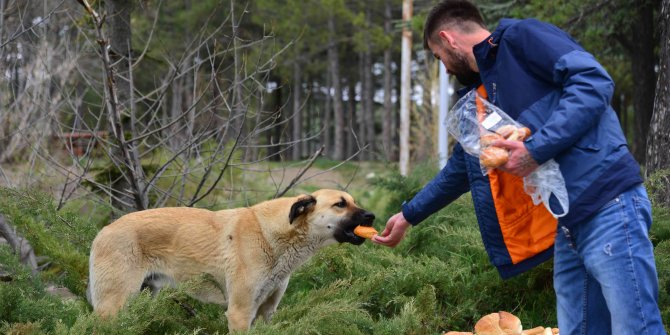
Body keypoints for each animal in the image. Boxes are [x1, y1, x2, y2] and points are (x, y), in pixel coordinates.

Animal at [86, 190, 376, 332]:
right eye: (340, 204)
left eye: (353, 201)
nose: (372, 216)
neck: (274, 233)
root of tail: (103, 232)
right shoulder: (240, 312)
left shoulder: (265, 312)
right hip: (114, 305)